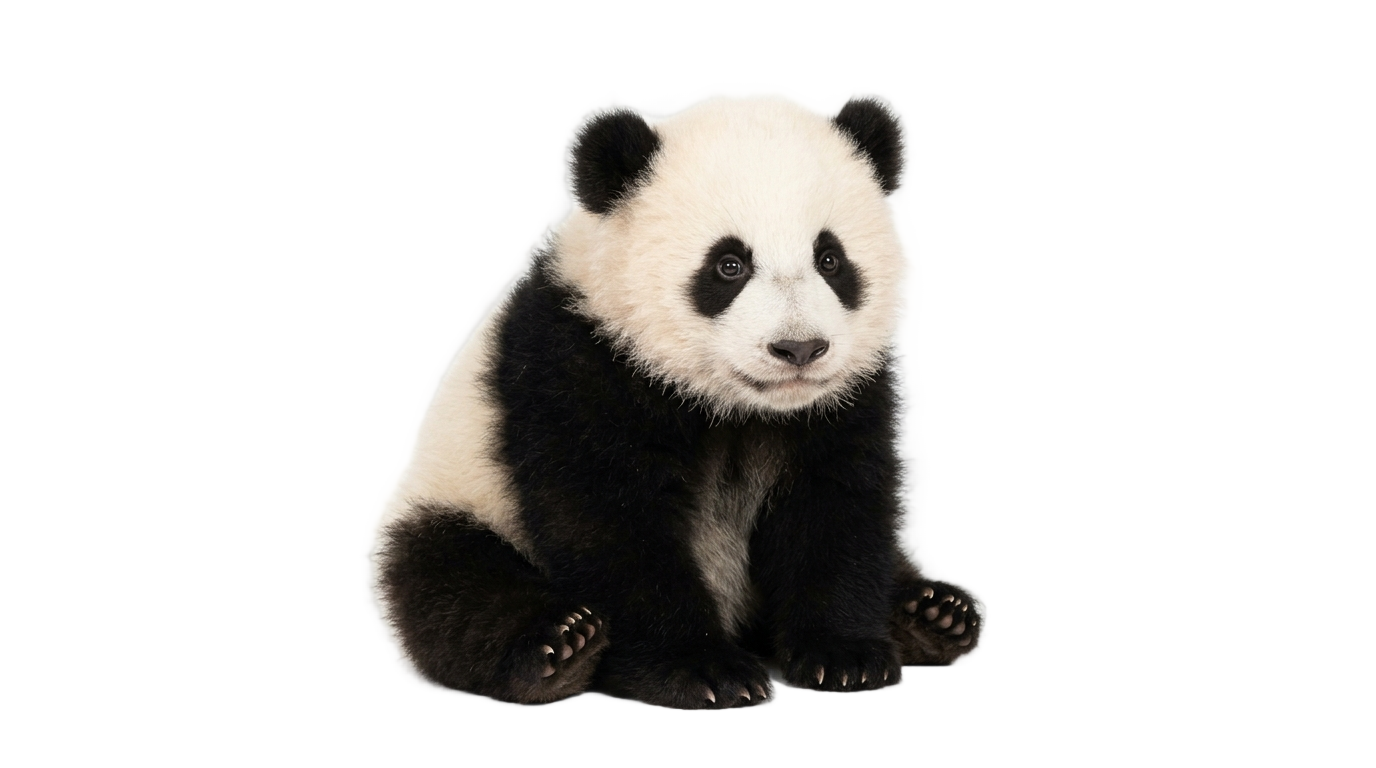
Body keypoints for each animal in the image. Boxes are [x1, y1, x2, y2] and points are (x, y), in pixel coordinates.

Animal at [373, 97, 980, 708]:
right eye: (729, 265)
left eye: (830, 260)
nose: (799, 349)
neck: (735, 404)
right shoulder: (576, 365)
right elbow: (610, 523)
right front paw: (700, 671)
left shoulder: (845, 395)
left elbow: (836, 505)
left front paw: (844, 656)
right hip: (463, 496)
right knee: (449, 584)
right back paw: (559, 649)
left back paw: (931, 615)